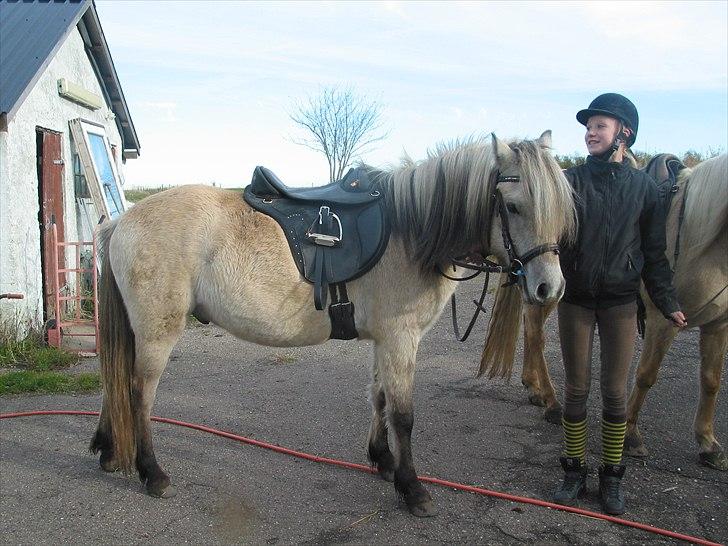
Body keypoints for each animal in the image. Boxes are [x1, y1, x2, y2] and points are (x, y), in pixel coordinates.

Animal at [89, 132, 576, 516]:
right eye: (513, 207)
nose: (549, 288)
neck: (410, 231)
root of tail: (121, 220)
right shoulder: (402, 337)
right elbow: (403, 414)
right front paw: (413, 488)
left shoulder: (385, 340)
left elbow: (379, 398)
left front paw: (382, 460)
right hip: (158, 331)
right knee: (139, 392)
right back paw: (153, 473)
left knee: (115, 383)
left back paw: (109, 450)